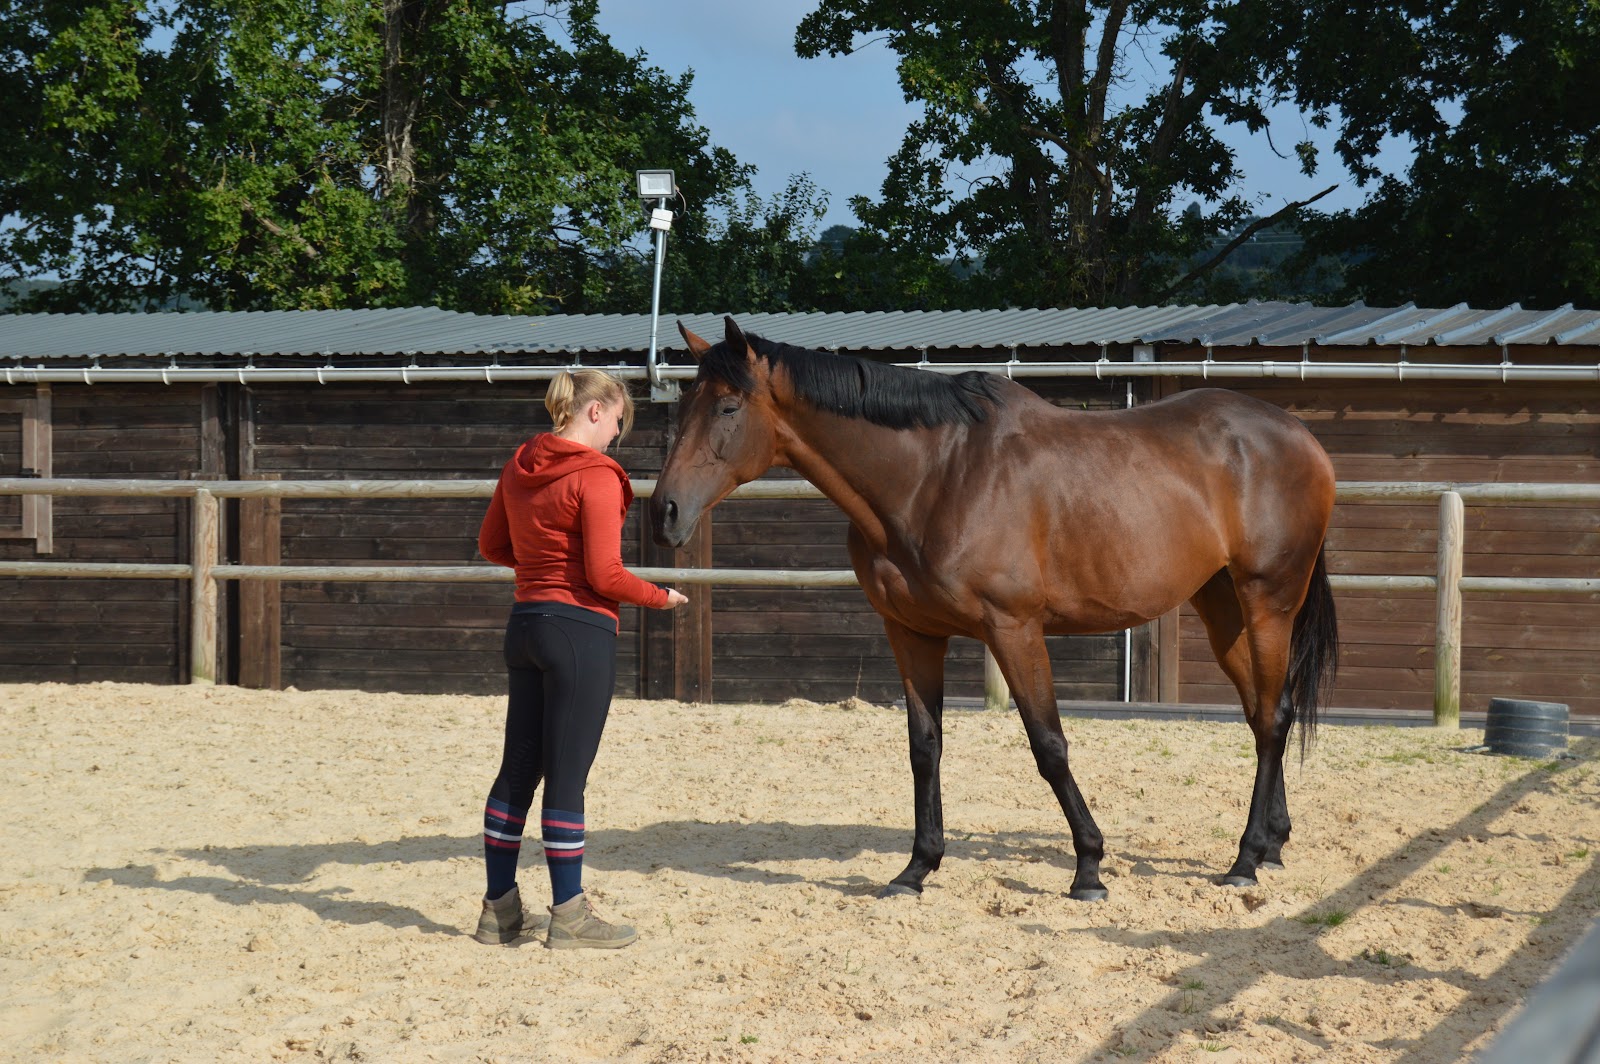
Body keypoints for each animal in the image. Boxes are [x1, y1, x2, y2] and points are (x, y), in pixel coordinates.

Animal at [651, 316, 1339, 901]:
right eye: (682, 408)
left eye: (728, 407)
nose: (665, 512)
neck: (936, 477)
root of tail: (1299, 436)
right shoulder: (910, 632)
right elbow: (924, 746)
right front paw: (917, 867)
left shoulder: (1014, 629)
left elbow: (1049, 744)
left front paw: (1089, 867)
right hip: (1221, 604)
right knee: (1260, 713)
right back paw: (1272, 844)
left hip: (1268, 600)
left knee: (1273, 717)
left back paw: (1244, 859)